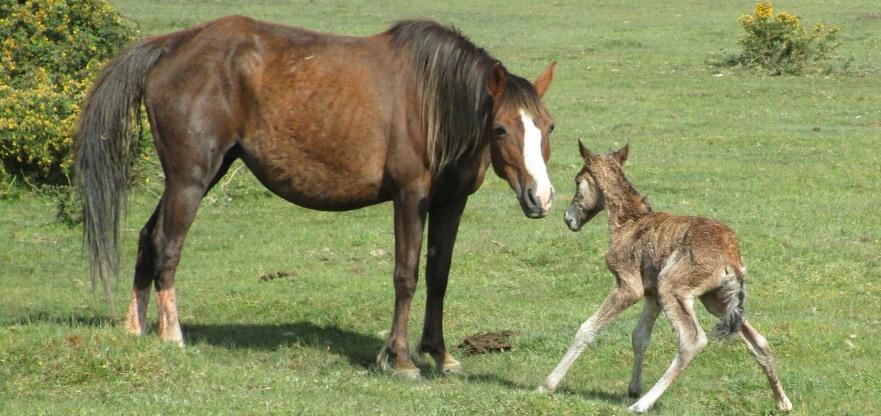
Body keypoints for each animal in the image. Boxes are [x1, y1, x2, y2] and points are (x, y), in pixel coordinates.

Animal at [74, 16, 557, 378]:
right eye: (501, 128)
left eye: (547, 126)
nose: (542, 197)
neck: (431, 100)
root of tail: (172, 45)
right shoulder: (409, 197)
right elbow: (406, 276)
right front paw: (399, 359)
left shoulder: (450, 202)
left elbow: (438, 275)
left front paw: (439, 353)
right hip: (190, 179)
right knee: (167, 245)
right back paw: (172, 335)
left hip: (201, 174)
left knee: (146, 238)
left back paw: (134, 329)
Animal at [537, 142, 792, 412]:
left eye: (577, 181)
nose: (568, 219)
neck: (628, 222)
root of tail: (731, 259)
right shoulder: (652, 295)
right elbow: (639, 337)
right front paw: (633, 388)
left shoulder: (629, 286)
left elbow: (587, 329)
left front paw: (546, 385)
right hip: (716, 300)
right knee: (759, 341)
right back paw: (783, 402)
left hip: (672, 287)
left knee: (692, 341)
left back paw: (642, 405)